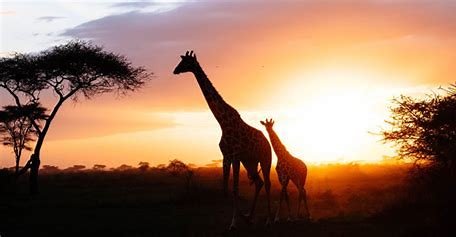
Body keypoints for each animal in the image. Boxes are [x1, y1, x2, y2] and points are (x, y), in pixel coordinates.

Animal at [171, 50, 270, 230]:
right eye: (181, 62)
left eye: (186, 62)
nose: (175, 70)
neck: (222, 123)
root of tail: (267, 142)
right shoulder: (226, 156)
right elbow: (225, 189)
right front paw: (240, 218)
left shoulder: (235, 156)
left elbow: (235, 189)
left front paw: (234, 223)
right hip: (250, 162)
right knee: (259, 183)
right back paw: (249, 217)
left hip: (265, 159)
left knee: (267, 184)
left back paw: (269, 219)